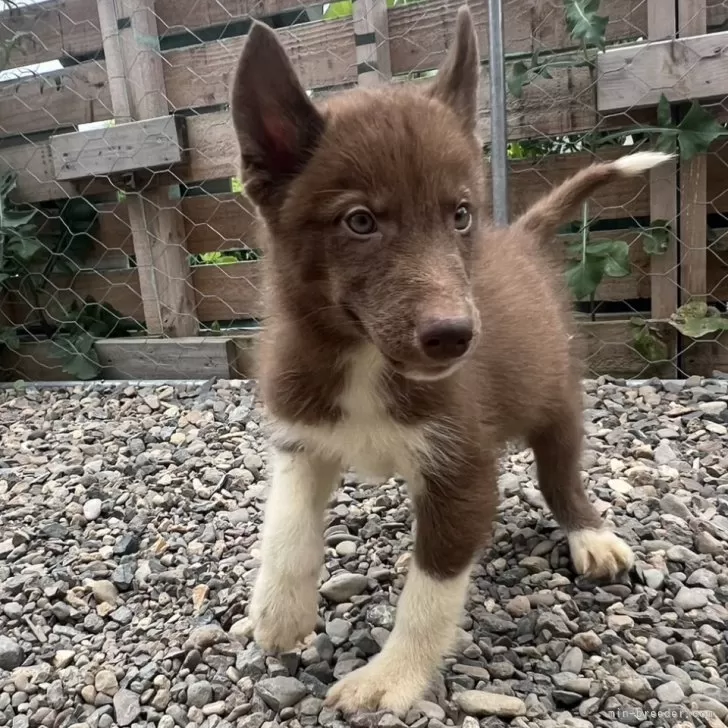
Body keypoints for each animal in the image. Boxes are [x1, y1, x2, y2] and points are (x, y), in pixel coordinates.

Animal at [230, 7, 668, 716]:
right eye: (359, 221)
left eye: (460, 215)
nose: (456, 336)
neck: (365, 361)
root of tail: (518, 236)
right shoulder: (302, 428)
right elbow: (287, 523)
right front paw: (278, 612)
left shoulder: (461, 469)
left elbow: (429, 590)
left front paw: (392, 677)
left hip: (556, 394)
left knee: (561, 473)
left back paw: (588, 533)